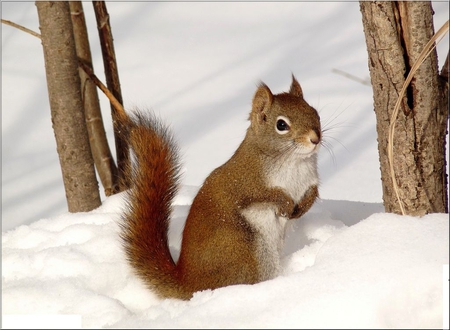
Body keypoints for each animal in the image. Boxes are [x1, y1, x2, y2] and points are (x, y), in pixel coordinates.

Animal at [118, 75, 320, 302]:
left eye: (314, 112)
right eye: (281, 124)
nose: (315, 139)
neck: (295, 161)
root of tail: (189, 284)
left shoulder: (310, 180)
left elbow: (312, 192)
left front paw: (302, 207)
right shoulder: (246, 183)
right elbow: (267, 195)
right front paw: (285, 204)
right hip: (244, 251)